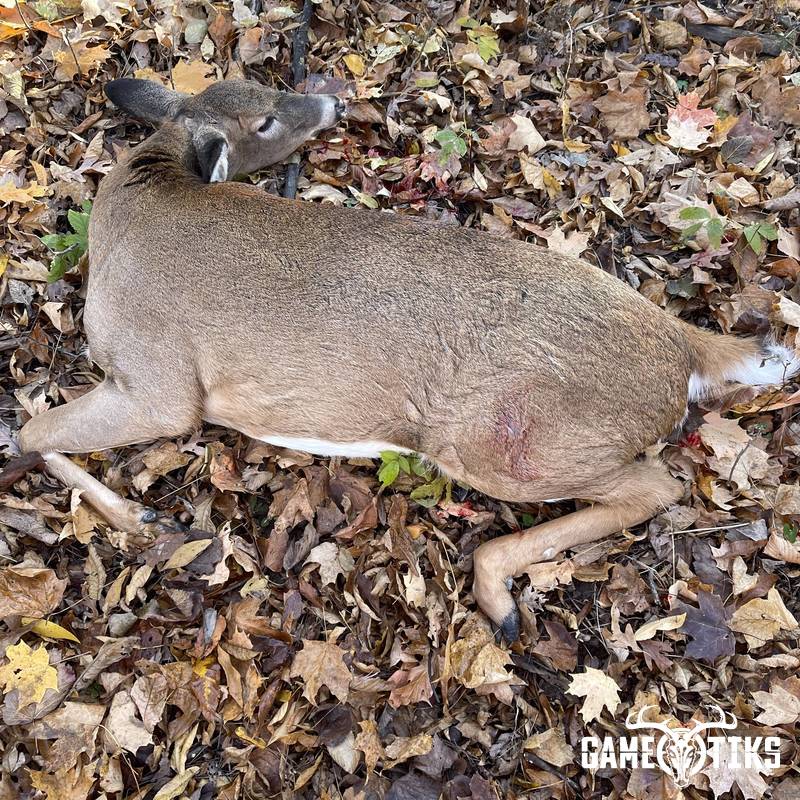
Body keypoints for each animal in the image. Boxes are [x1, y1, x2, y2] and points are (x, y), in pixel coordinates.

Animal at [13, 77, 799, 642]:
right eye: (261, 111)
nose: (330, 99)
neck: (132, 210)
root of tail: (680, 346)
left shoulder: (161, 383)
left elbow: (27, 431)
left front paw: (135, 519)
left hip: (508, 439)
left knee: (653, 487)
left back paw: (499, 600)